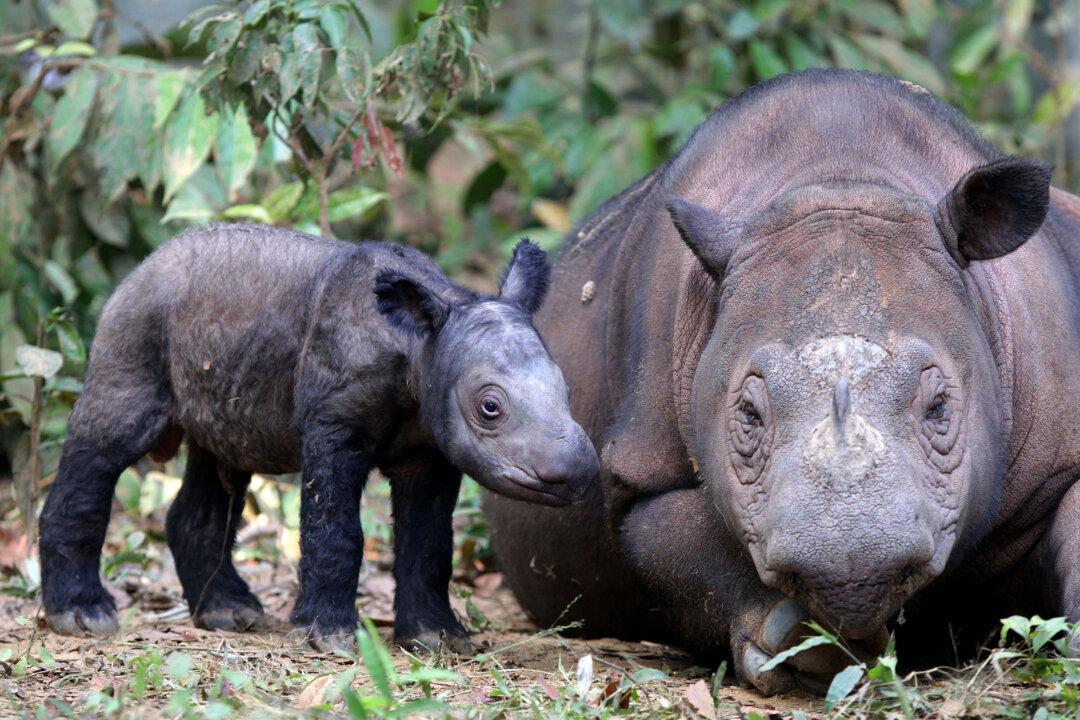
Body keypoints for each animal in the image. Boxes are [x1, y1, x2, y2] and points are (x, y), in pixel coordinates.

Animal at [485, 70, 1080, 693]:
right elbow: (676, 540)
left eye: (939, 408)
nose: (852, 571)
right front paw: (803, 646)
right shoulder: (641, 470)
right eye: (749, 416)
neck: (841, 174)